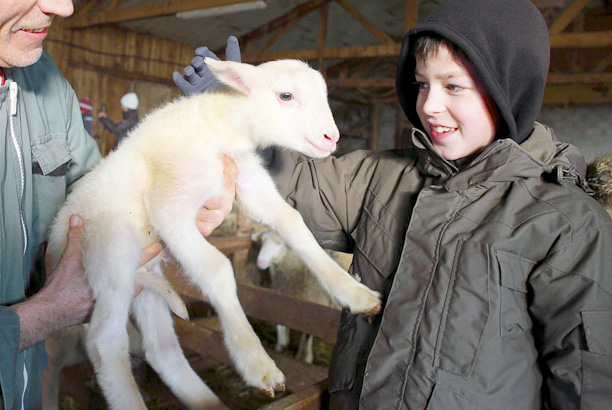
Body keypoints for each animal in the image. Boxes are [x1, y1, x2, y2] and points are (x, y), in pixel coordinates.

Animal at [47, 58, 380, 410]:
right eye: (286, 95)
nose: (332, 137)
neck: (217, 127)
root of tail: (54, 246)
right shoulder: (170, 206)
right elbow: (217, 267)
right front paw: (256, 363)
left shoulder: (247, 178)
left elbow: (293, 222)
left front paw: (355, 295)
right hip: (111, 253)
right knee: (104, 342)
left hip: (144, 282)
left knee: (160, 348)